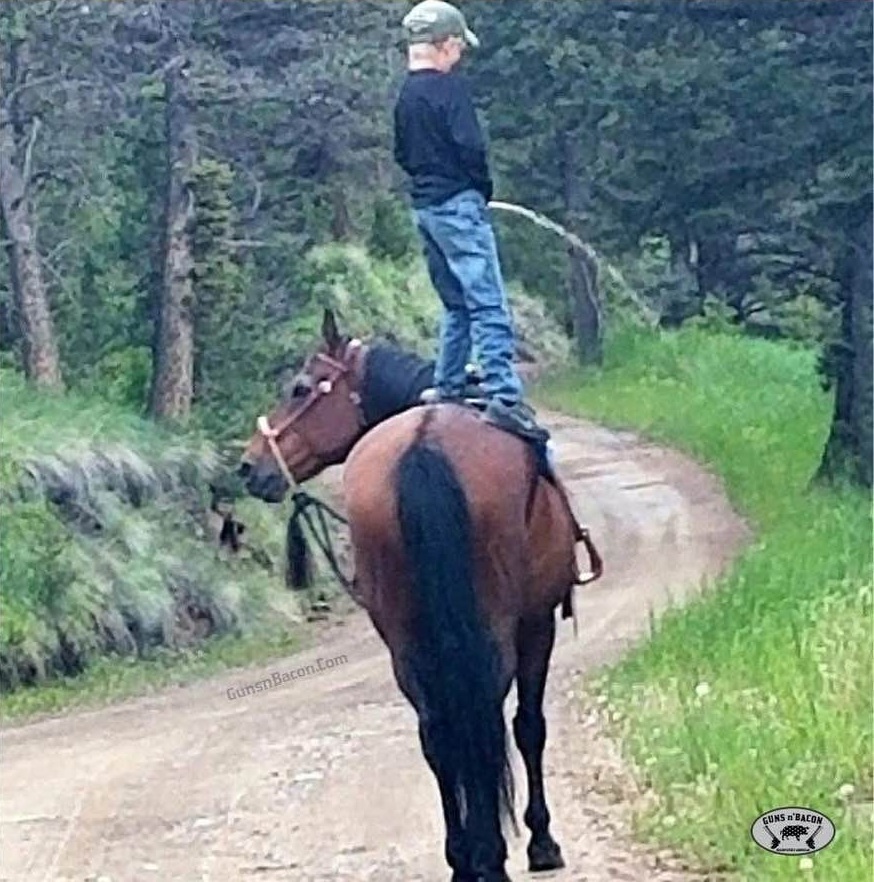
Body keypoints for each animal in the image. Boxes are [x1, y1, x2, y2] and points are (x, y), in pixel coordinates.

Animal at [239, 309, 601, 881]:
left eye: (300, 388)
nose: (250, 466)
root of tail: (423, 445)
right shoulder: (537, 623)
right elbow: (529, 727)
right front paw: (542, 840)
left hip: (406, 642)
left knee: (437, 735)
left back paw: (464, 858)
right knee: (481, 719)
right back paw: (491, 854)